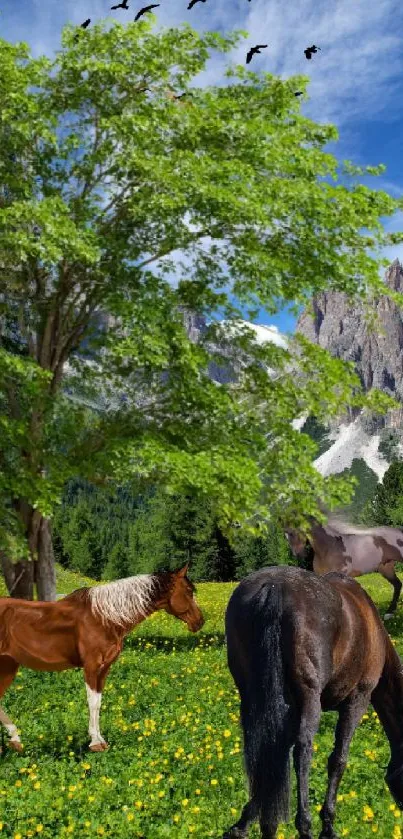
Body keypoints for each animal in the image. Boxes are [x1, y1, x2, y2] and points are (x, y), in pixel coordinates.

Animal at [0, 564, 204, 756]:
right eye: (188, 590)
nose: (200, 622)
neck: (104, 617)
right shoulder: (91, 666)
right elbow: (92, 701)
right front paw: (96, 743)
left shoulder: (104, 668)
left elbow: (98, 702)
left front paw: (99, 739)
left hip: (8, 666)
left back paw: (15, 740)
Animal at [224, 564, 403, 839]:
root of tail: (274, 588)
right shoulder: (358, 700)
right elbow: (338, 759)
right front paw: (327, 824)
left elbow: (276, 754)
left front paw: (247, 819)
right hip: (310, 699)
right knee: (303, 751)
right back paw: (304, 825)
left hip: (252, 695)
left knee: (259, 750)